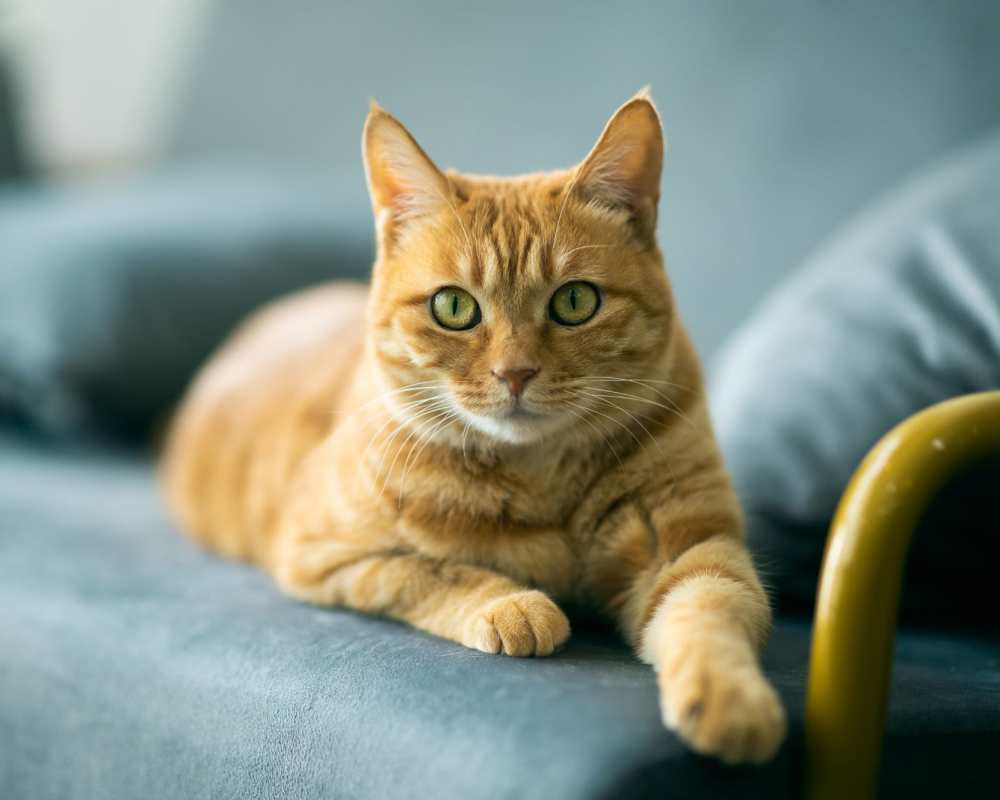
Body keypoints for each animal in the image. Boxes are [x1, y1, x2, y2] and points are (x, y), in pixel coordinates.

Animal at [164, 92, 784, 764]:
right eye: (454, 307)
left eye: (575, 302)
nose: (515, 373)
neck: (540, 479)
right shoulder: (323, 554)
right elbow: (428, 570)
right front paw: (513, 604)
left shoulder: (693, 548)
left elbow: (711, 610)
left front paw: (731, 701)